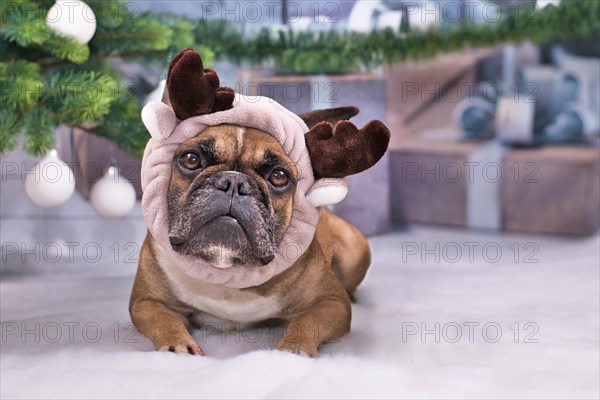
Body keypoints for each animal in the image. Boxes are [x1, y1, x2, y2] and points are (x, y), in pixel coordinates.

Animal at [129, 48, 392, 358]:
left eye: (279, 177)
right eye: (191, 159)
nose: (234, 183)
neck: (228, 273)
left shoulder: (332, 302)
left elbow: (307, 321)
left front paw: (293, 349)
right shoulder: (146, 301)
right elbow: (164, 320)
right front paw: (178, 347)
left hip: (355, 253)